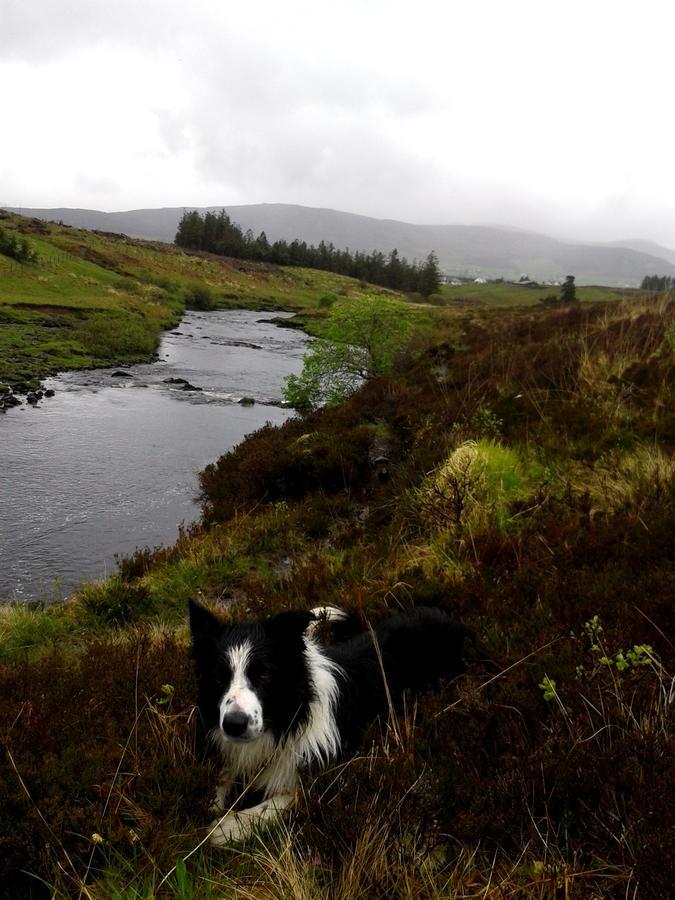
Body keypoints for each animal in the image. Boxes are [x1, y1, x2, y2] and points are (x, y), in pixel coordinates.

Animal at [189, 596, 476, 844]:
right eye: (219, 677)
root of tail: (448, 618)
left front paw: (223, 828)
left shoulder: (322, 781)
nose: (234, 725)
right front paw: (207, 805)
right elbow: (219, 776)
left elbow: (272, 805)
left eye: (264, 674)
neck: (290, 718)